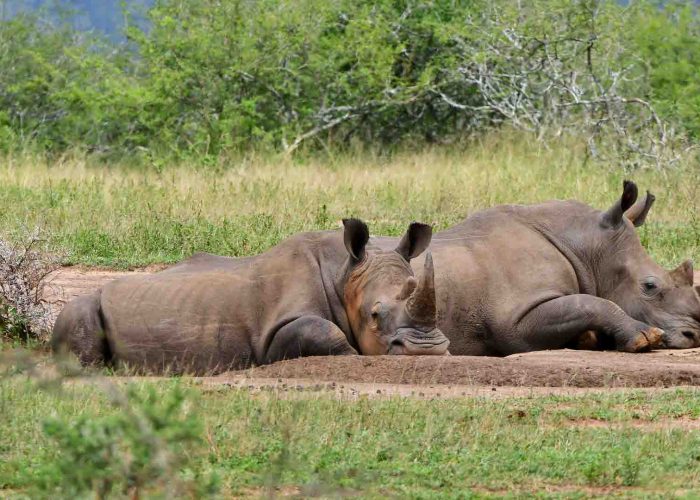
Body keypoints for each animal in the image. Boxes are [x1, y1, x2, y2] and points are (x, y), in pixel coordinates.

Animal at [51, 219, 449, 374]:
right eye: (375, 315)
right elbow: (323, 332)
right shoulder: (275, 331)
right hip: (85, 302)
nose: (427, 352)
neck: (344, 274)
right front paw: (351, 355)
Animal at [373, 180, 700, 354]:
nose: (693, 337)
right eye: (650, 286)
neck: (589, 249)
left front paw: (589, 339)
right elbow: (591, 302)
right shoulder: (513, 323)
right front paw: (645, 338)